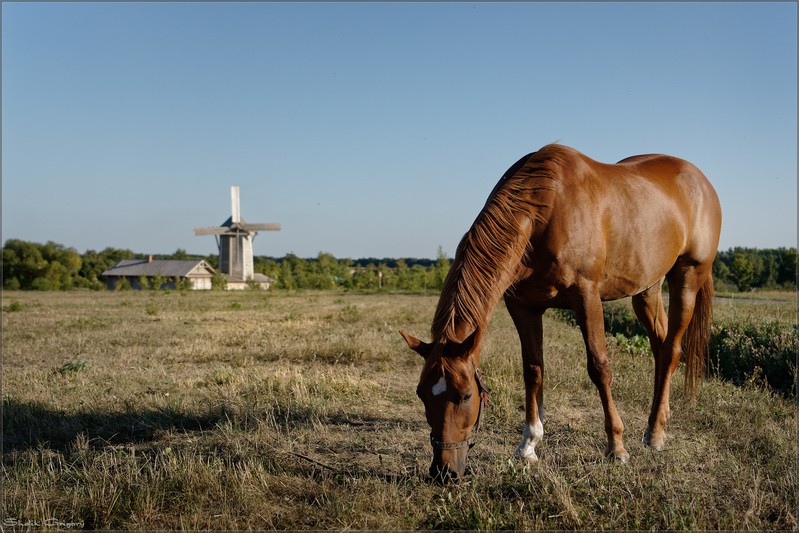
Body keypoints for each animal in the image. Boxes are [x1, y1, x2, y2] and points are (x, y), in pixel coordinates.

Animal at [404, 143, 720, 480]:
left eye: (465, 395)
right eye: (421, 393)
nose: (443, 471)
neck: (546, 209)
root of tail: (700, 181)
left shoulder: (587, 297)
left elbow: (599, 367)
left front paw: (617, 447)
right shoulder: (524, 307)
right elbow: (533, 370)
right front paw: (529, 444)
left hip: (688, 279)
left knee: (672, 349)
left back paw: (657, 435)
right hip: (647, 290)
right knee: (660, 349)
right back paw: (656, 424)